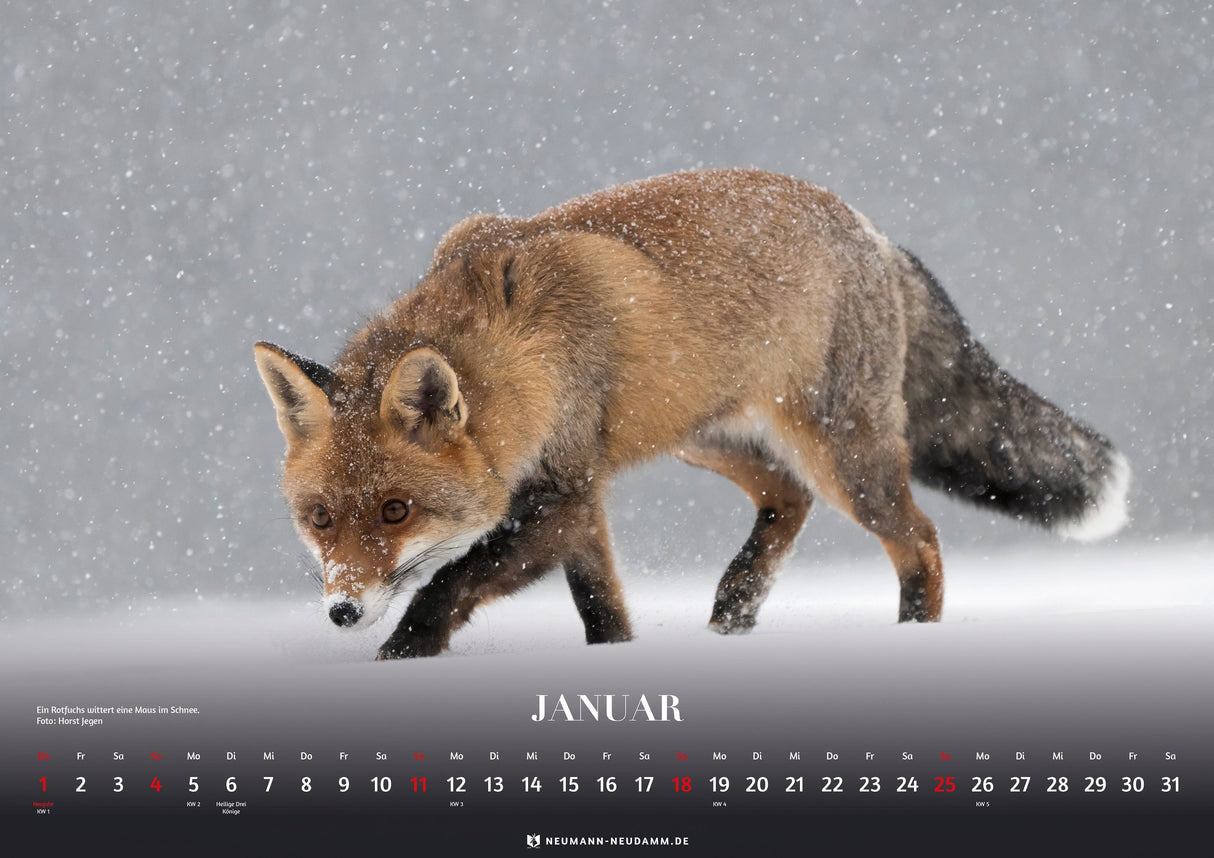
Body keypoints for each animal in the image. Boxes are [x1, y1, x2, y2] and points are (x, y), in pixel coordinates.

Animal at [253, 168, 1129, 659]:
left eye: (397, 511)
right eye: (321, 517)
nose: (340, 610)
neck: (520, 354)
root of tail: (871, 232)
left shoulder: (560, 493)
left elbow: (448, 584)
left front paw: (402, 656)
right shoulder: (577, 498)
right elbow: (602, 605)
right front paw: (615, 663)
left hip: (844, 455)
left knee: (919, 539)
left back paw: (914, 637)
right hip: (702, 438)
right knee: (789, 501)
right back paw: (735, 609)